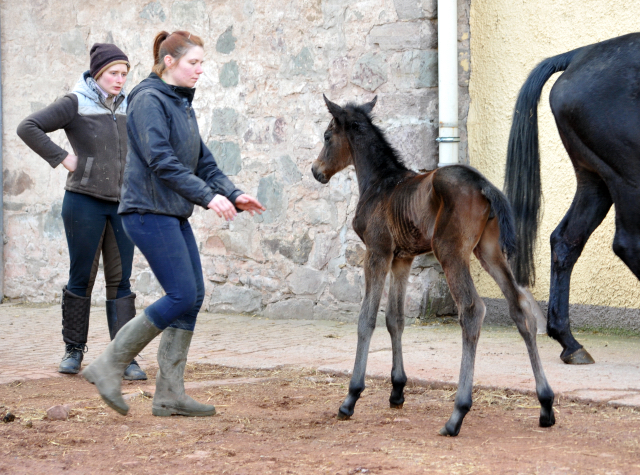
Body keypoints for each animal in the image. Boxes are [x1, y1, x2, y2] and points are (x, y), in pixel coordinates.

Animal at [312, 95, 556, 436]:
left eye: (327, 136)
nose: (316, 171)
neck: (379, 184)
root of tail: (484, 185)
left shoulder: (377, 251)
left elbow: (367, 319)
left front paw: (351, 397)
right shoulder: (402, 258)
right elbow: (395, 319)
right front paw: (397, 390)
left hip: (450, 251)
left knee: (472, 310)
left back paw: (457, 414)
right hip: (489, 251)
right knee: (520, 308)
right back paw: (545, 404)